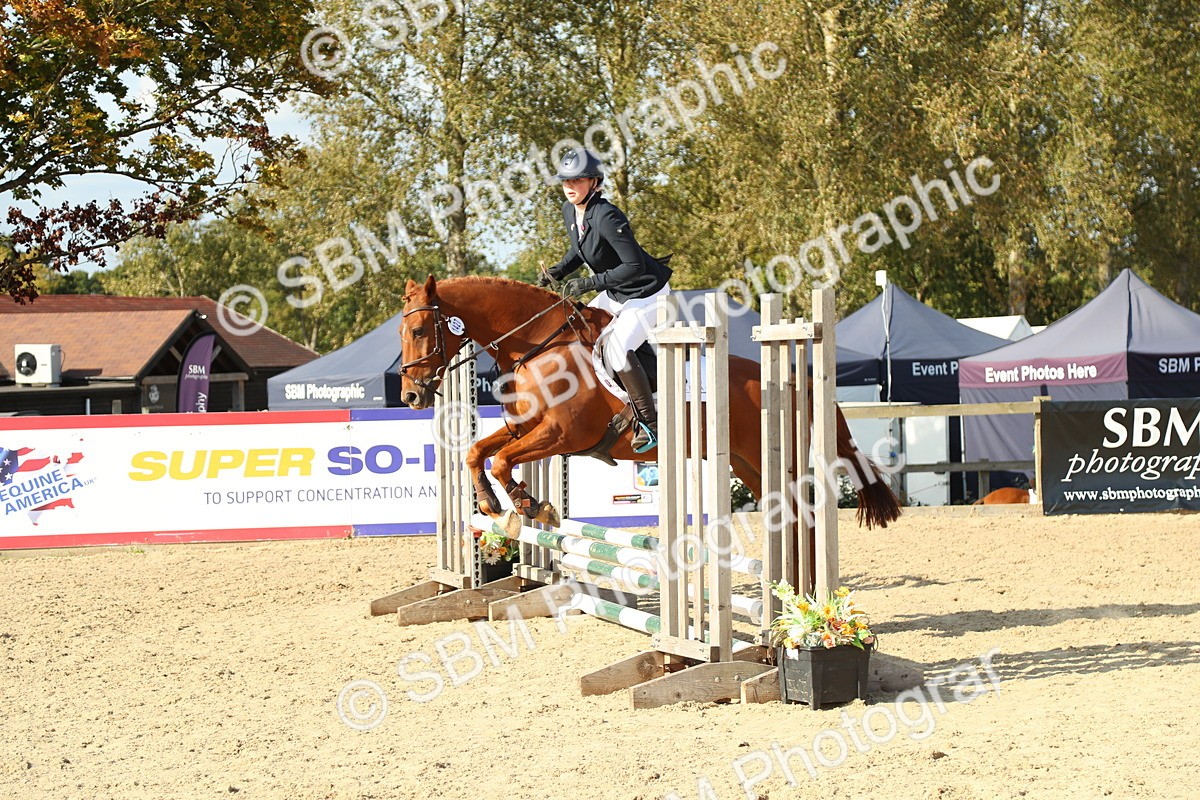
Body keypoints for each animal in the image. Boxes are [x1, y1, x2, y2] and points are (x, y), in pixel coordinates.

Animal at [398, 275, 901, 537]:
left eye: (420, 331)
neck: (537, 346)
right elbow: (477, 452)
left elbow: (501, 460)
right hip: (746, 464)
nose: (411, 396)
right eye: (402, 331)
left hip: (767, 458)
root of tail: (796, 378)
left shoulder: (563, 434)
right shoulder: (527, 428)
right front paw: (494, 505)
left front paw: (528, 507)